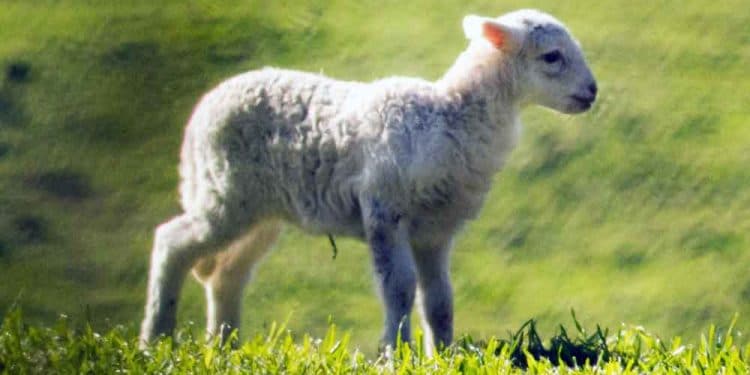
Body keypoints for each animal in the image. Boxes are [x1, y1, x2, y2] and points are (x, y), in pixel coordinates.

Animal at [140, 9, 600, 356]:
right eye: (552, 57)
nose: (593, 91)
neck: (451, 115)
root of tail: (203, 110)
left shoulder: (434, 229)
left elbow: (439, 300)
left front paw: (443, 354)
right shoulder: (383, 209)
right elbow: (398, 289)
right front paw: (396, 354)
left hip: (260, 210)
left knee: (227, 274)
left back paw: (225, 346)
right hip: (225, 192)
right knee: (172, 242)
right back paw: (156, 339)